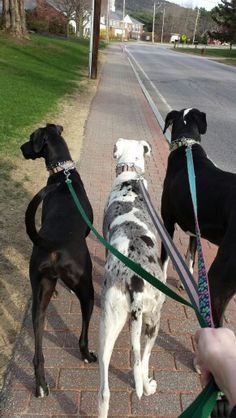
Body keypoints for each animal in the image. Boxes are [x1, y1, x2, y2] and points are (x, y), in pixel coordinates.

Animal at [20, 124, 96, 398]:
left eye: (30, 139)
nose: (21, 148)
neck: (63, 174)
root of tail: (51, 246)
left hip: (39, 298)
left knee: (37, 354)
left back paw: (41, 385)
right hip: (87, 289)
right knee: (83, 334)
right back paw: (87, 355)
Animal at [160, 107, 236, 326]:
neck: (187, 147)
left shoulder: (167, 222)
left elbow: (164, 259)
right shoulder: (195, 230)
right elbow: (190, 257)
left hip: (220, 277)